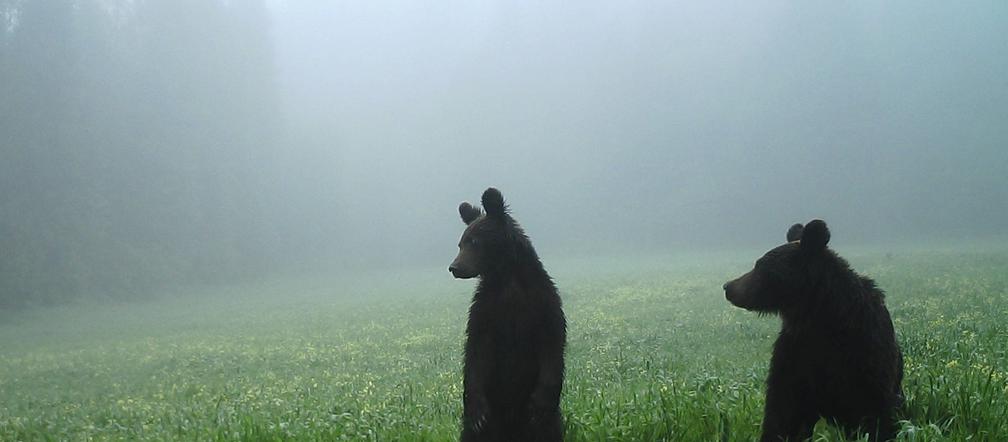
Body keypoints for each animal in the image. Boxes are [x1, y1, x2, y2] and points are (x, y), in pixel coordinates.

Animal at [725, 221, 907, 442]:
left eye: (760, 266)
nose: (728, 287)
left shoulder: (865, 351)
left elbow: (874, 410)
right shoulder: (796, 351)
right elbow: (784, 411)